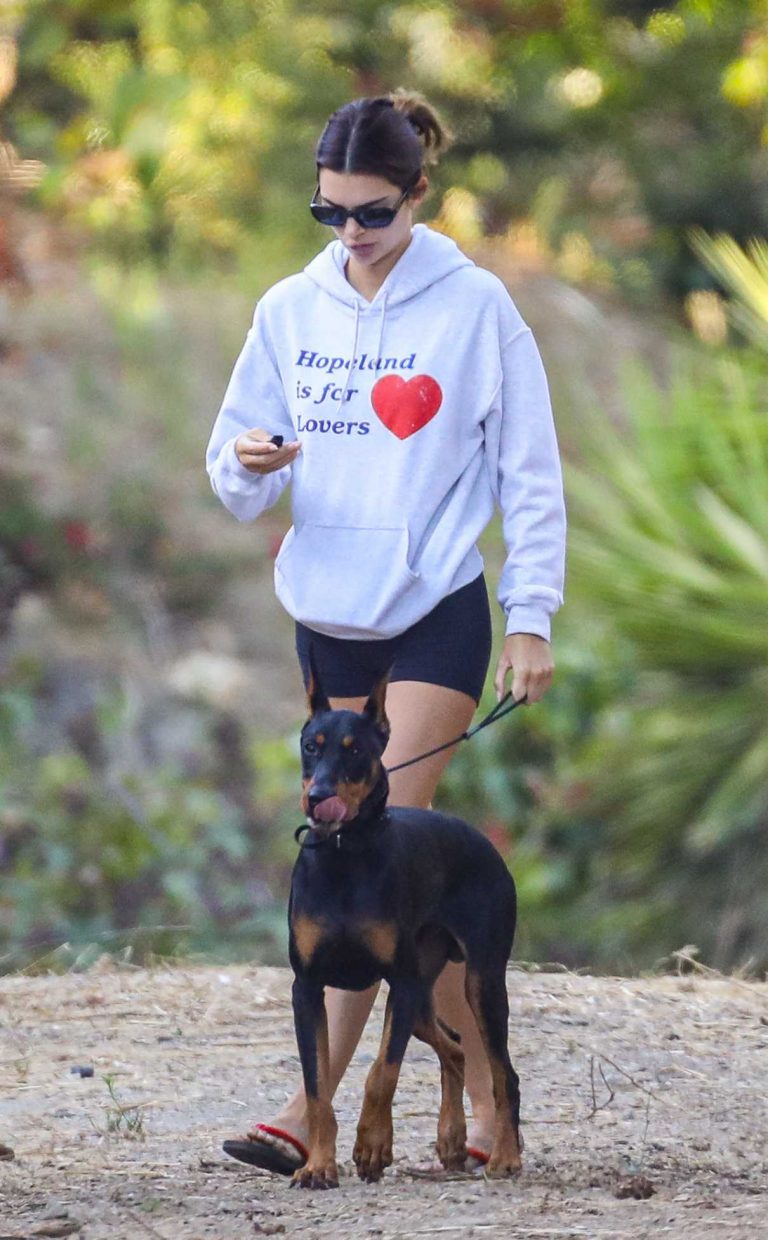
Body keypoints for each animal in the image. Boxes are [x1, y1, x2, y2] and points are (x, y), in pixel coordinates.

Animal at [285, 659, 526, 1190]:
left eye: (355, 750)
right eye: (311, 745)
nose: (318, 796)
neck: (343, 856)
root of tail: (483, 840)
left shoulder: (399, 979)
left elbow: (382, 1072)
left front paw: (373, 1146)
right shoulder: (307, 987)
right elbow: (318, 1086)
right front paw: (318, 1165)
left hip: (477, 981)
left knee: (503, 1073)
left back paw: (505, 1156)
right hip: (422, 993)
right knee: (455, 1048)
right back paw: (452, 1139)